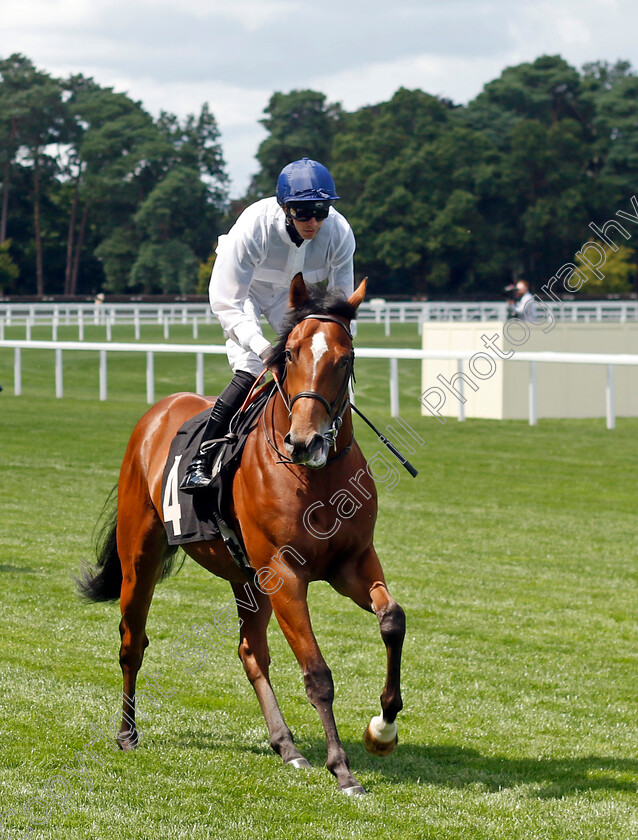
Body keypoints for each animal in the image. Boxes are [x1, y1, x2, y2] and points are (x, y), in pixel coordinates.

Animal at [80, 274, 408, 796]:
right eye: (290, 353)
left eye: (345, 358)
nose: (305, 442)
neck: (313, 477)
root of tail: (158, 412)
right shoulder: (286, 572)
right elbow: (318, 673)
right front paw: (342, 769)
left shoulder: (352, 563)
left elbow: (393, 620)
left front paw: (383, 728)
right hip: (141, 556)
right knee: (132, 642)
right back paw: (128, 734)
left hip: (247, 579)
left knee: (251, 651)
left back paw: (287, 746)